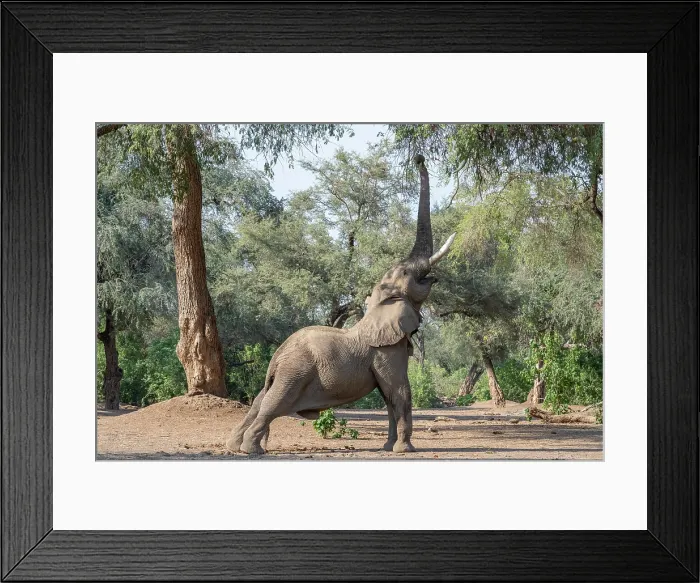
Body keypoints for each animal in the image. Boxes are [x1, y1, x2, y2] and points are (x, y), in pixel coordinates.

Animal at [226, 154, 455, 455]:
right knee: (272, 404)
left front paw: (388, 447)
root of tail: (277, 356)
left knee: (259, 400)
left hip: (286, 372)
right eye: (407, 273)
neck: (377, 306)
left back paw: (233, 445)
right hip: (294, 373)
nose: (419, 157)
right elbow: (399, 391)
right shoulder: (386, 351)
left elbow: (388, 396)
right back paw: (252, 450)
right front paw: (405, 450)